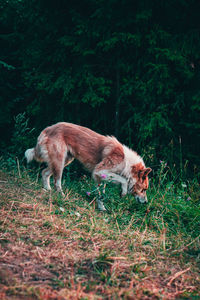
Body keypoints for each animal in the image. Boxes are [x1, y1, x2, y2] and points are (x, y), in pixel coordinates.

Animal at [24, 121, 152, 209]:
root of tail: (48, 128)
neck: (127, 163)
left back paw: (47, 190)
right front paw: (123, 191)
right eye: (144, 189)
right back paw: (61, 195)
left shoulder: (101, 177)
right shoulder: (99, 171)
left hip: (64, 161)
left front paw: (101, 208)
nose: (146, 202)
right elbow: (124, 180)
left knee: (44, 173)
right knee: (57, 181)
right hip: (59, 161)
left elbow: (101, 195)